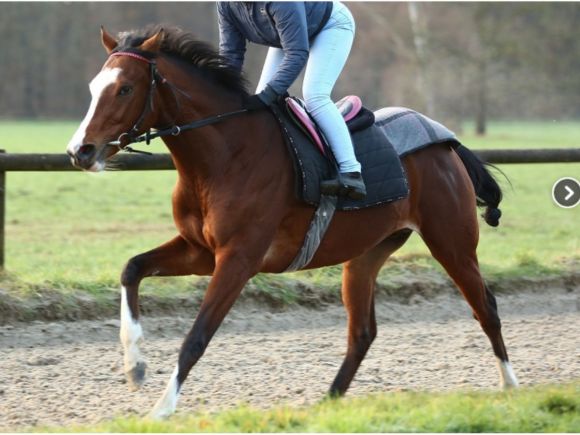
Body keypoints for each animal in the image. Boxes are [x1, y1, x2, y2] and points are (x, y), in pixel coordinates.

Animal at [65, 26, 520, 418]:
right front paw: (135, 366)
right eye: (92, 88)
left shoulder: (238, 259)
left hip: (452, 242)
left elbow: (197, 336)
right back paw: (329, 401)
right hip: (366, 255)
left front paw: (161, 409)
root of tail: (448, 144)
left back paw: (511, 386)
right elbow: (132, 269)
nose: (79, 151)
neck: (221, 157)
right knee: (362, 332)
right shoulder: (200, 251)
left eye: (124, 88)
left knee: (487, 307)